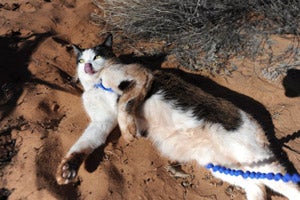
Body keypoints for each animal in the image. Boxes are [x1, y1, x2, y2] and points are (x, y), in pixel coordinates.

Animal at [56, 34, 300, 200]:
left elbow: (125, 101)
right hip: (224, 165)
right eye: (80, 60)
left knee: (288, 186)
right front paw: (66, 170)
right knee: (256, 186)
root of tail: (260, 128)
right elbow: (84, 143)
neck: (96, 85)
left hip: (254, 158)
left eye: (97, 56)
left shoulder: (140, 75)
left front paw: (129, 131)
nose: (87, 66)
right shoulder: (101, 122)